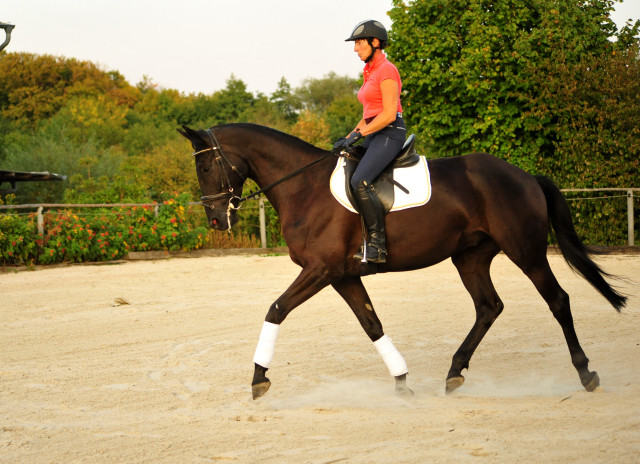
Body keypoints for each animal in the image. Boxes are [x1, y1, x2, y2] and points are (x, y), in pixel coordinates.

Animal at [179, 122, 624, 398]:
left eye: (206, 164)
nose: (216, 219)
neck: (304, 186)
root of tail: (525, 176)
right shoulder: (341, 275)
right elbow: (371, 324)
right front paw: (402, 382)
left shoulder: (320, 270)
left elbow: (275, 310)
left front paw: (258, 378)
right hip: (470, 257)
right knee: (488, 307)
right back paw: (454, 372)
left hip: (525, 251)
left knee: (558, 301)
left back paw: (586, 373)